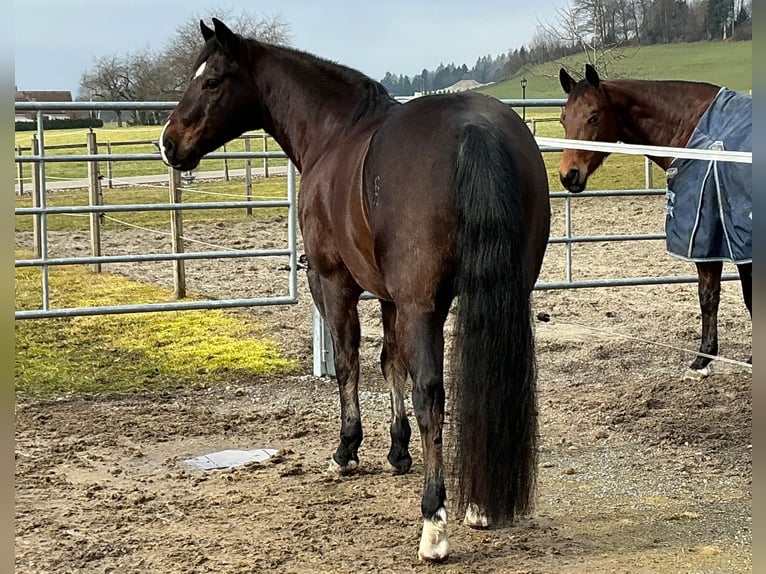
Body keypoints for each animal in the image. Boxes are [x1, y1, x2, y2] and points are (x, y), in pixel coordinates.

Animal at [160, 19, 551, 561]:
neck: (336, 131)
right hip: (498, 295)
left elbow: (349, 361)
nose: (168, 143)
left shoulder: (333, 281)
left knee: (432, 394)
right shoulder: (388, 295)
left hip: (422, 306)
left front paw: (347, 449)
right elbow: (391, 363)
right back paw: (480, 504)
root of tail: (476, 129)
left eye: (212, 80)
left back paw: (434, 522)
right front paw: (397, 450)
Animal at [558, 64, 751, 380]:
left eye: (593, 116)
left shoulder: (717, 237)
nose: (568, 175)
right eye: (564, 119)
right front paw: (704, 359)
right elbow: (710, 295)